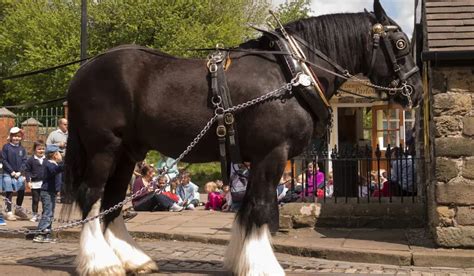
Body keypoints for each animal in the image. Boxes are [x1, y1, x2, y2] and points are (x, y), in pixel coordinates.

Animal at [62, 1, 422, 274]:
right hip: (104, 147)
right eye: (401, 44)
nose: (415, 92)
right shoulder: (272, 153)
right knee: (91, 195)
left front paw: (242, 260)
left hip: (128, 152)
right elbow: (260, 208)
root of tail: (83, 70)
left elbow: (249, 209)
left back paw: (131, 259)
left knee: (111, 201)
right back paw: (100, 263)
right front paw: (263, 265)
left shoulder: (259, 159)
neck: (292, 74)